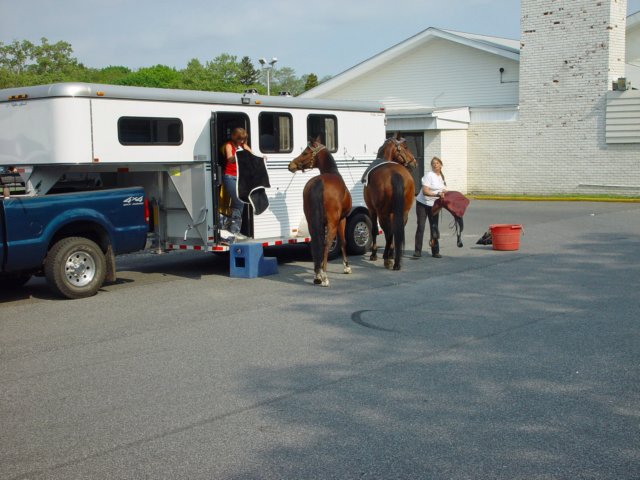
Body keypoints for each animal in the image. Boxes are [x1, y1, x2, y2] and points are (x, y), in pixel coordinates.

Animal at [288, 137, 352, 286]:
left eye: (305, 152)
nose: (291, 165)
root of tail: (319, 183)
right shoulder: (342, 219)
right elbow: (343, 242)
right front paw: (346, 267)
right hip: (333, 222)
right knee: (327, 243)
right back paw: (324, 276)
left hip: (312, 221)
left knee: (316, 242)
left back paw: (317, 275)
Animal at [362, 133, 418, 270]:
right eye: (406, 147)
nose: (414, 163)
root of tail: (395, 174)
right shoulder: (393, 212)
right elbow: (393, 232)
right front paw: (391, 253)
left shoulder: (372, 210)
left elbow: (375, 230)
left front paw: (375, 254)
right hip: (403, 212)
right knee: (396, 231)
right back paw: (396, 261)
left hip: (382, 213)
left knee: (388, 233)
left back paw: (387, 260)